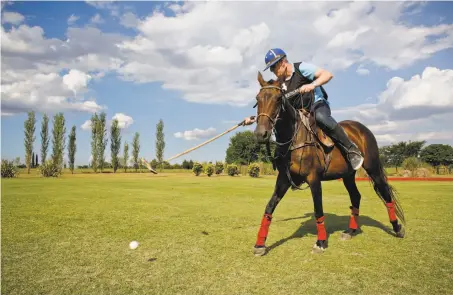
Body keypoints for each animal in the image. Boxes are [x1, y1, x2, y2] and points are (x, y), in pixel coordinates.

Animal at [252, 72, 404, 256]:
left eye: (279, 99)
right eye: (258, 98)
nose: (261, 134)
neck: (294, 137)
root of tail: (362, 128)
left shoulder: (314, 178)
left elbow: (318, 210)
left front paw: (321, 242)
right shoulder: (284, 179)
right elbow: (269, 207)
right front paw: (260, 244)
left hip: (373, 167)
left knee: (385, 192)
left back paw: (397, 228)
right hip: (348, 175)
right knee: (356, 196)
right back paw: (350, 231)